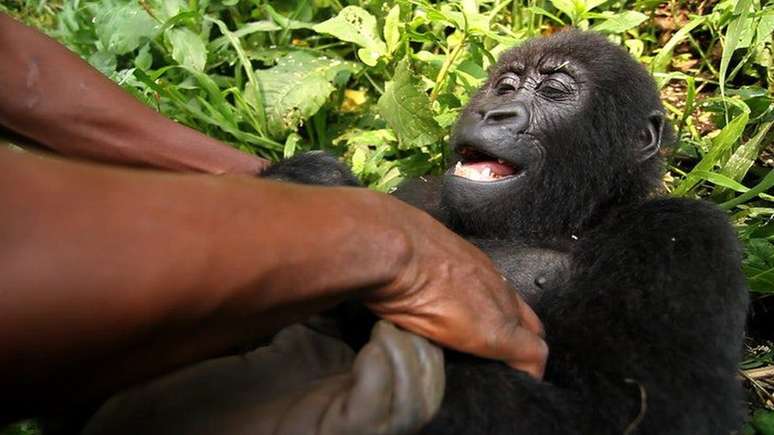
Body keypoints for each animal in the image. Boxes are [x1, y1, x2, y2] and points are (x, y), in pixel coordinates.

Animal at [266, 31, 752, 435]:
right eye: (504, 87)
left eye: (553, 91)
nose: (493, 112)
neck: (568, 218)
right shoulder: (419, 194)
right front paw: (309, 184)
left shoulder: (683, 234)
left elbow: (646, 411)